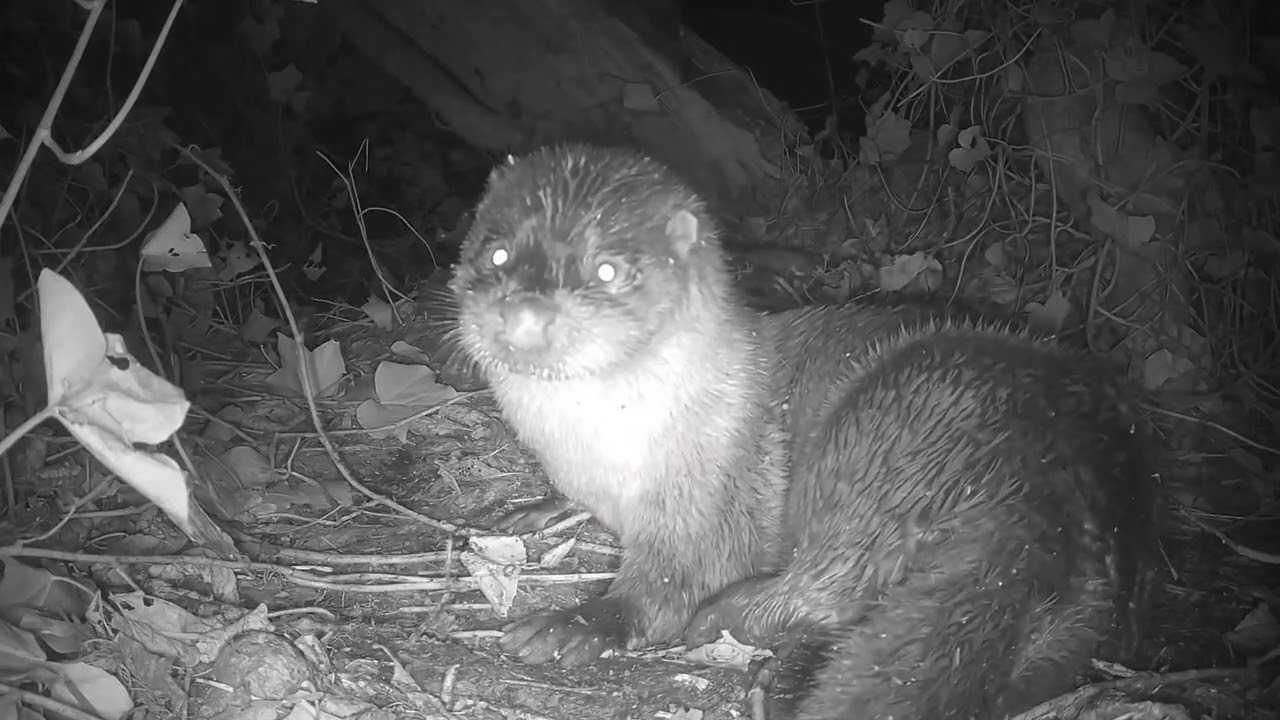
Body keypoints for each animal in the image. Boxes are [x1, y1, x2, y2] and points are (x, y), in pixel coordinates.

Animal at [448, 144, 1159, 719]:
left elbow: (668, 589)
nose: (526, 312)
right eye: (497, 251)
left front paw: (577, 623)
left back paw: (730, 626)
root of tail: (1054, 483)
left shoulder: (709, 490)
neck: (600, 453)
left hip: (883, 430)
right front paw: (527, 510)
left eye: (607, 271)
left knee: (827, 580)